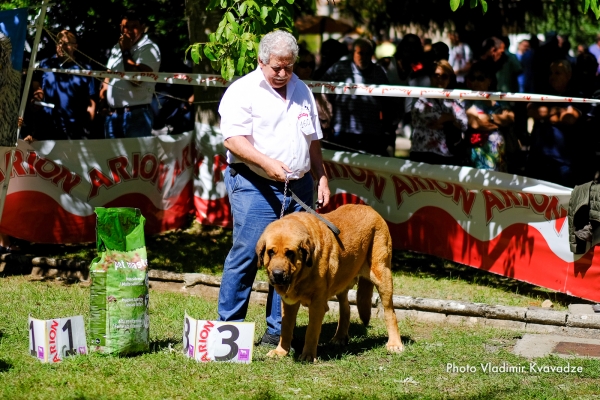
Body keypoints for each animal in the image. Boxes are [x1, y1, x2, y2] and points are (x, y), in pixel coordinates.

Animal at [254, 205, 404, 360]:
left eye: (290, 253)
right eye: (271, 252)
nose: (277, 274)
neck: (303, 274)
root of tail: (370, 208)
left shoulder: (317, 304)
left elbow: (311, 331)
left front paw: (307, 355)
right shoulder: (289, 303)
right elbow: (286, 328)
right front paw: (281, 351)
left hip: (382, 276)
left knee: (390, 312)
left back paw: (394, 344)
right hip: (342, 280)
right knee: (346, 308)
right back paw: (340, 337)